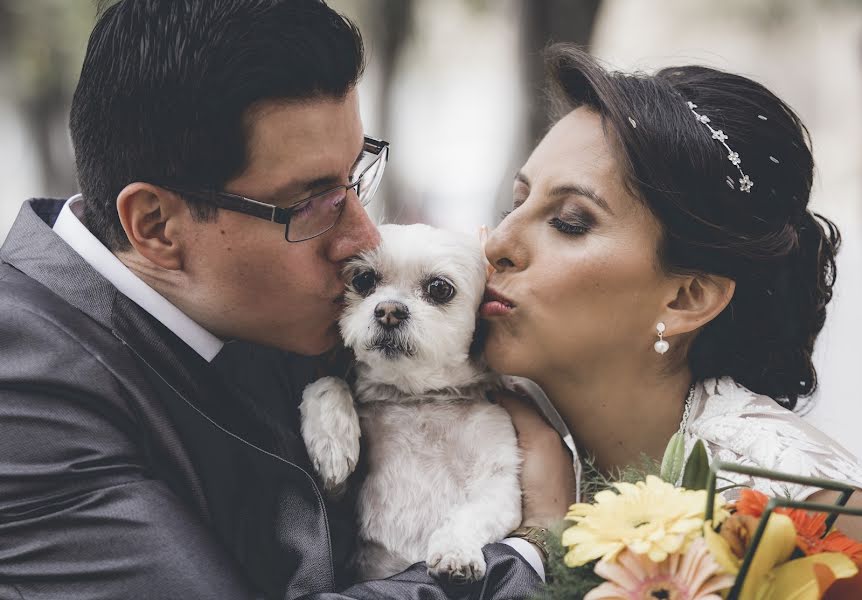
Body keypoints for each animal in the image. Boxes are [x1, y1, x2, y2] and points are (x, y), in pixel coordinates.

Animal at [300, 223, 524, 584]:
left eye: (439, 288)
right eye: (364, 279)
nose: (389, 310)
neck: (417, 396)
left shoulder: (498, 481)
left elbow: (469, 514)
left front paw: (455, 551)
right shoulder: (336, 501)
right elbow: (328, 383)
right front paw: (332, 441)